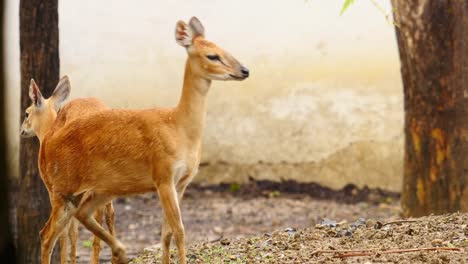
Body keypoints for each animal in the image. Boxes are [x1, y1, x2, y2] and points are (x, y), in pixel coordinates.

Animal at [20, 75, 116, 262]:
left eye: (27, 112)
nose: (22, 130)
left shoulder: (55, 191)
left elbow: (66, 232)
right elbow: (74, 231)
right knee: (108, 214)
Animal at [37, 17, 249, 264]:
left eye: (224, 48)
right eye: (212, 55)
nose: (244, 70)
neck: (180, 128)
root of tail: (46, 143)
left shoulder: (181, 182)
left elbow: (167, 233)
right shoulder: (163, 175)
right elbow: (179, 230)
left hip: (98, 190)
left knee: (72, 220)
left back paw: (120, 250)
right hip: (60, 188)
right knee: (48, 234)